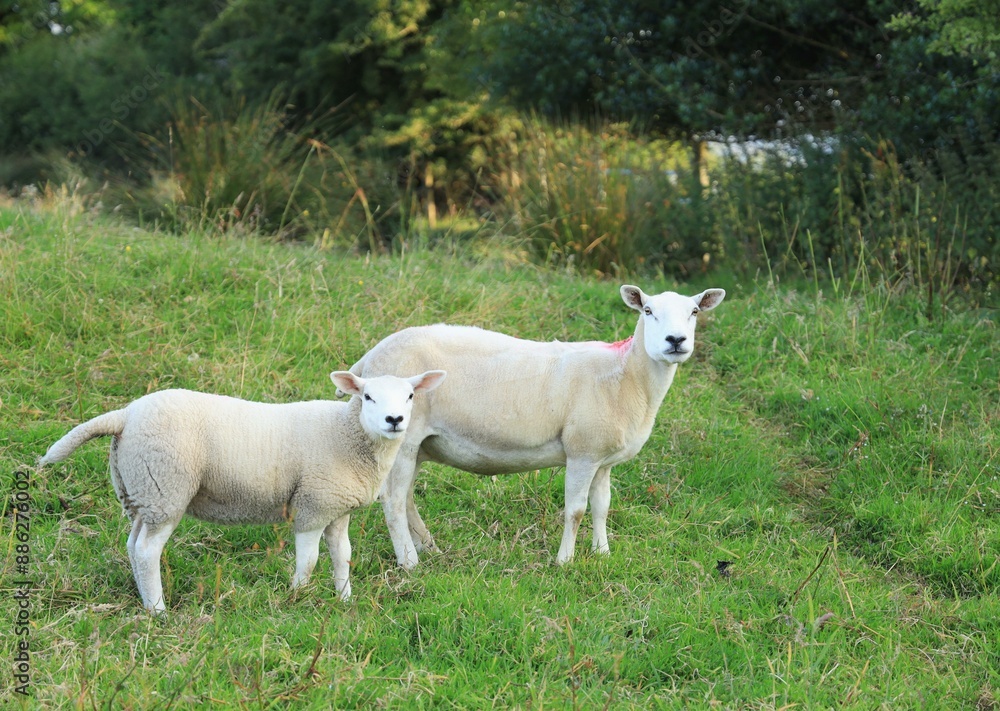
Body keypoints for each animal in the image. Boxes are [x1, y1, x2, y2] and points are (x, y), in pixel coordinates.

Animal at [37, 370, 446, 613]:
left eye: (410, 396)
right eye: (368, 397)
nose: (395, 420)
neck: (348, 435)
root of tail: (126, 415)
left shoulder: (336, 507)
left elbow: (341, 556)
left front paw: (344, 600)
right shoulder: (312, 504)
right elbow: (309, 560)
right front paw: (296, 596)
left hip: (144, 492)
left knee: (133, 544)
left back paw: (146, 601)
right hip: (167, 486)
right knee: (146, 550)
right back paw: (159, 611)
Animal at [342, 285, 725, 569]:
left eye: (694, 312)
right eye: (647, 311)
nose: (675, 341)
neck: (626, 376)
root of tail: (371, 357)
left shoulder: (603, 459)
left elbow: (602, 506)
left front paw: (602, 554)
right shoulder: (582, 452)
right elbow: (576, 510)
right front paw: (565, 561)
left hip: (420, 444)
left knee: (405, 497)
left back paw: (429, 548)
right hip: (402, 437)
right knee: (393, 501)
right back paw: (409, 562)